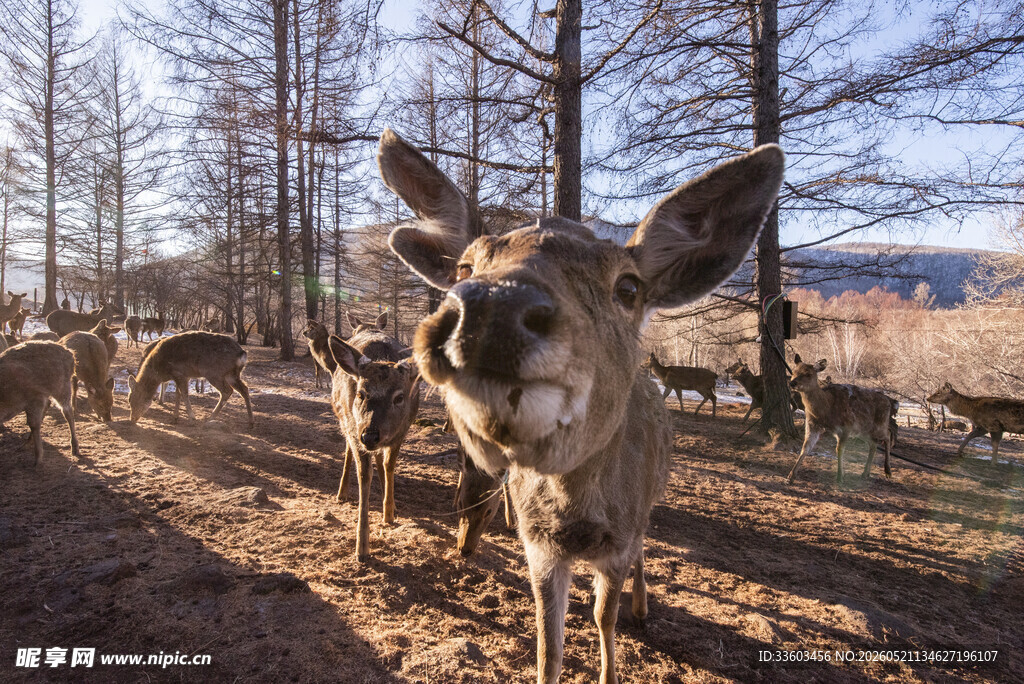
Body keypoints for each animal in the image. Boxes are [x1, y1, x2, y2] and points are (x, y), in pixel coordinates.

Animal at [327, 321, 420, 561]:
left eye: (399, 397)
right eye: (361, 393)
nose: (369, 435)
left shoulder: (402, 430)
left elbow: (389, 465)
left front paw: (389, 512)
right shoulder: (353, 428)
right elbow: (363, 475)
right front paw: (362, 547)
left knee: (379, 457)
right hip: (345, 421)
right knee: (348, 450)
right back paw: (341, 492)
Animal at [377, 128, 783, 684]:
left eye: (628, 287)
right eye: (464, 266)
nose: (494, 308)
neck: (576, 515)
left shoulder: (618, 538)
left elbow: (603, 617)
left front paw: (616, 648)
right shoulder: (538, 546)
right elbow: (549, 643)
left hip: (648, 506)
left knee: (644, 551)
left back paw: (643, 605)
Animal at [787, 355, 898, 484]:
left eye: (808, 374)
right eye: (794, 371)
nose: (792, 383)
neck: (826, 409)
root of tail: (890, 401)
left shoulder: (846, 427)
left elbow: (839, 450)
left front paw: (840, 477)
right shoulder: (812, 425)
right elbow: (805, 447)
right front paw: (791, 476)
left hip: (879, 425)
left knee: (887, 435)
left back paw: (888, 471)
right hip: (863, 431)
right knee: (873, 444)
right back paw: (865, 473)